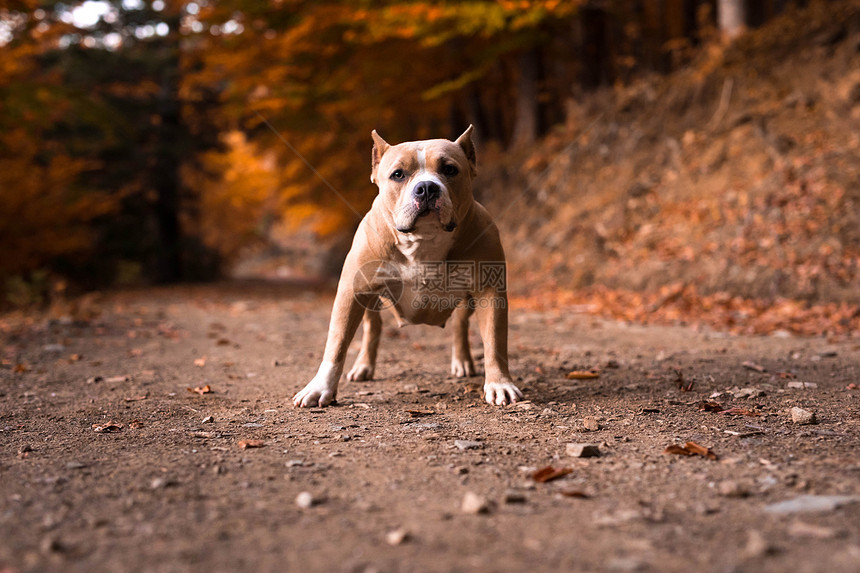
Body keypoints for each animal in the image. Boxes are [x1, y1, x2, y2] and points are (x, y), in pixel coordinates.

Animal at [294, 127, 524, 408]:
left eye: (450, 169)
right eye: (398, 174)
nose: (426, 187)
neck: (423, 241)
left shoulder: (490, 292)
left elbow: (494, 342)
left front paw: (500, 384)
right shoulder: (352, 292)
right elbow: (336, 344)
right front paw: (320, 388)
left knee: (460, 325)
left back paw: (462, 362)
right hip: (369, 299)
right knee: (373, 327)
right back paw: (363, 367)